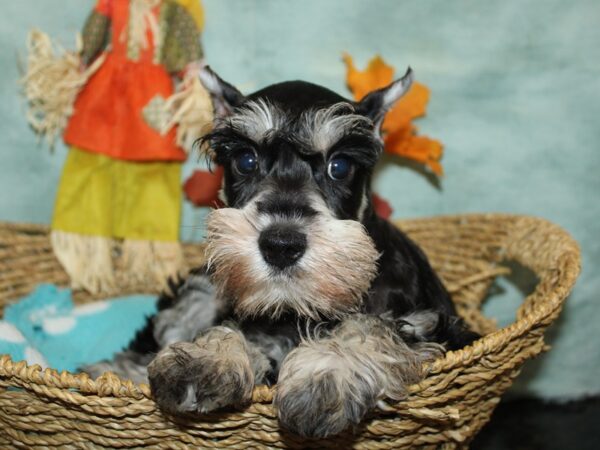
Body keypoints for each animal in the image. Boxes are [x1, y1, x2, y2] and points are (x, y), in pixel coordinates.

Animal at [84, 66, 478, 436]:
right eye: (245, 160)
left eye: (339, 166)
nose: (281, 245)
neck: (296, 308)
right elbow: (237, 328)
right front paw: (206, 357)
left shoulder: (439, 326)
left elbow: (375, 326)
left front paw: (326, 374)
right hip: (207, 284)